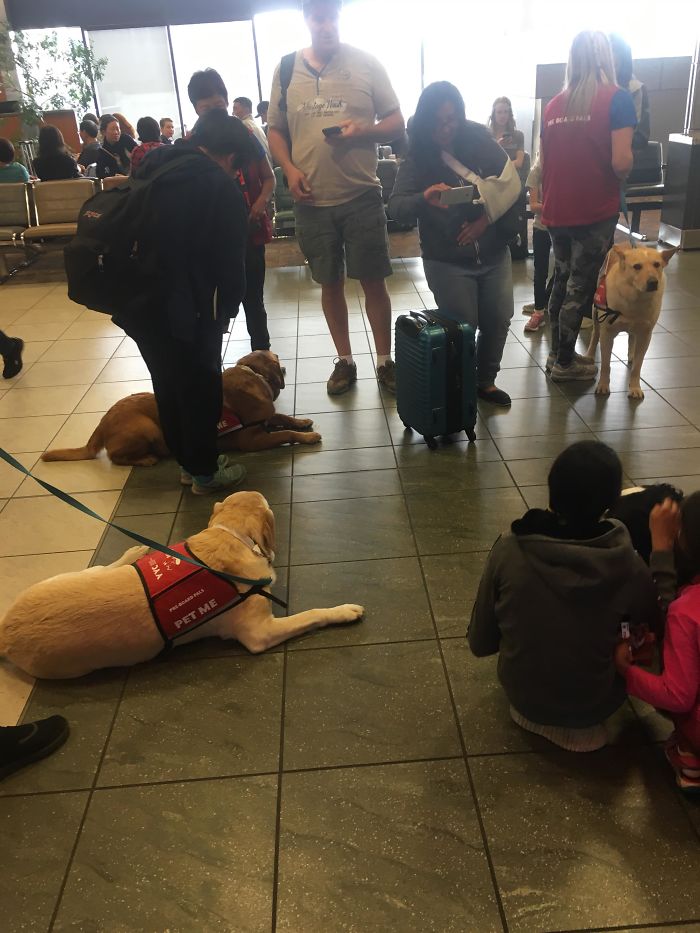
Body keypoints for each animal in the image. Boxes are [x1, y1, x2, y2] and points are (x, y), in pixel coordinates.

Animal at [0, 492, 364, 680]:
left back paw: (136, 552)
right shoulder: (259, 633)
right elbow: (312, 614)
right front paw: (344, 611)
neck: (230, 535)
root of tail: (5, 631)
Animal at [41, 350, 320, 466]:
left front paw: (302, 422)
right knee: (115, 457)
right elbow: (284, 433)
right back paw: (146, 459)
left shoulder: (265, 420)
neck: (253, 374)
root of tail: (102, 421)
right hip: (147, 427)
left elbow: (283, 416)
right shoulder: (252, 440)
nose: (283, 366)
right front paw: (306, 436)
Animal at [584, 242, 680, 398]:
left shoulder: (646, 335)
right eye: (637, 266)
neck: (635, 299)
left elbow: (637, 367)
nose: (653, 282)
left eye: (657, 264)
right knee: (595, 335)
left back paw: (631, 355)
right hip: (596, 313)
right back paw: (590, 355)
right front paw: (603, 385)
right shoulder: (607, 334)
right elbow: (605, 364)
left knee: (632, 338)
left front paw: (635, 387)